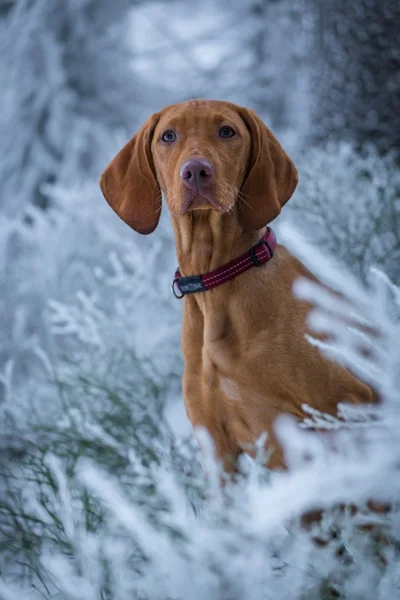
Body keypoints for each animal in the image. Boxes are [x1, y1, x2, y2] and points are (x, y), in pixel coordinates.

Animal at [99, 99, 376, 474]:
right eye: (168, 136)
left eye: (227, 131)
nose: (196, 171)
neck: (217, 280)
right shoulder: (218, 452)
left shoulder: (348, 404)